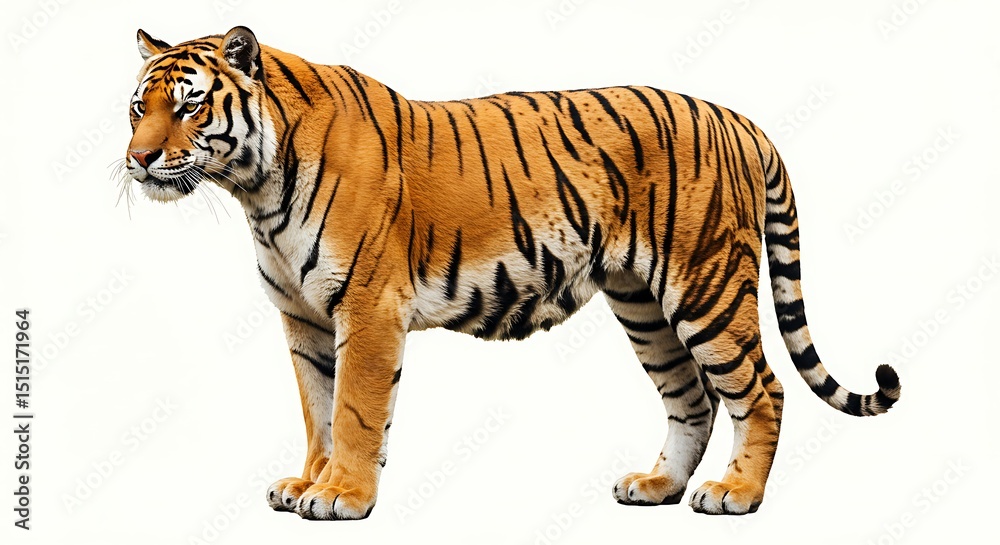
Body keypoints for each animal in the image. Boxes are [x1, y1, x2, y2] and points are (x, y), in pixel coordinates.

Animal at [123, 26, 901, 520]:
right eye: (138, 107)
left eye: (190, 104)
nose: (138, 159)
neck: (255, 190)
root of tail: (739, 119)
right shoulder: (303, 317)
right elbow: (317, 409)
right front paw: (307, 482)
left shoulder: (367, 308)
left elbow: (353, 410)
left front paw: (342, 495)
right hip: (643, 305)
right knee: (693, 399)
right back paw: (657, 485)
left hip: (706, 286)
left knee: (761, 390)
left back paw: (736, 494)